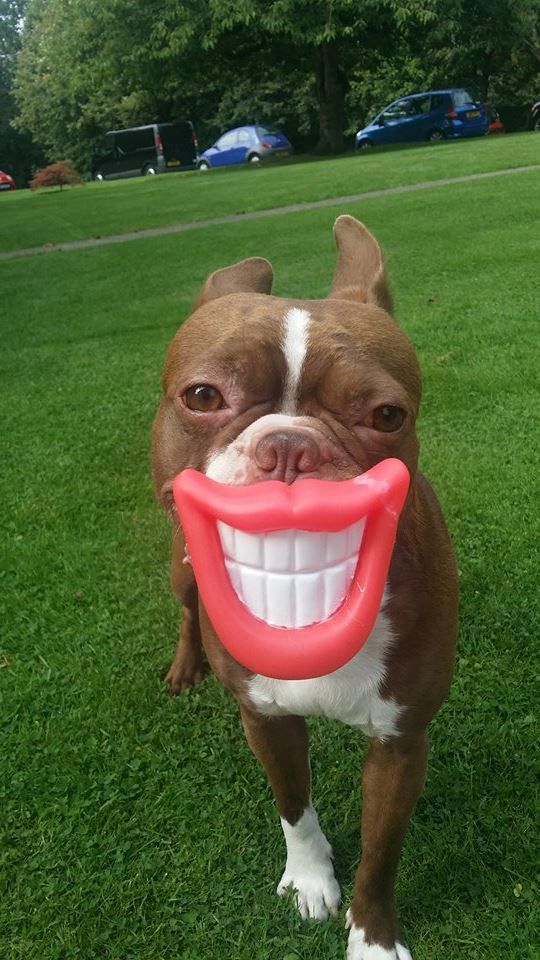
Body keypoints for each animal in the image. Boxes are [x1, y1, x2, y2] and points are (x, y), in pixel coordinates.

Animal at [151, 218, 456, 960]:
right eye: (203, 396)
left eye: (386, 414)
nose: (290, 446)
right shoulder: (266, 719)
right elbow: (293, 805)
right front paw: (312, 878)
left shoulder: (402, 742)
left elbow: (382, 852)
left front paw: (373, 938)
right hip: (180, 567)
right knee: (186, 609)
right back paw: (185, 665)